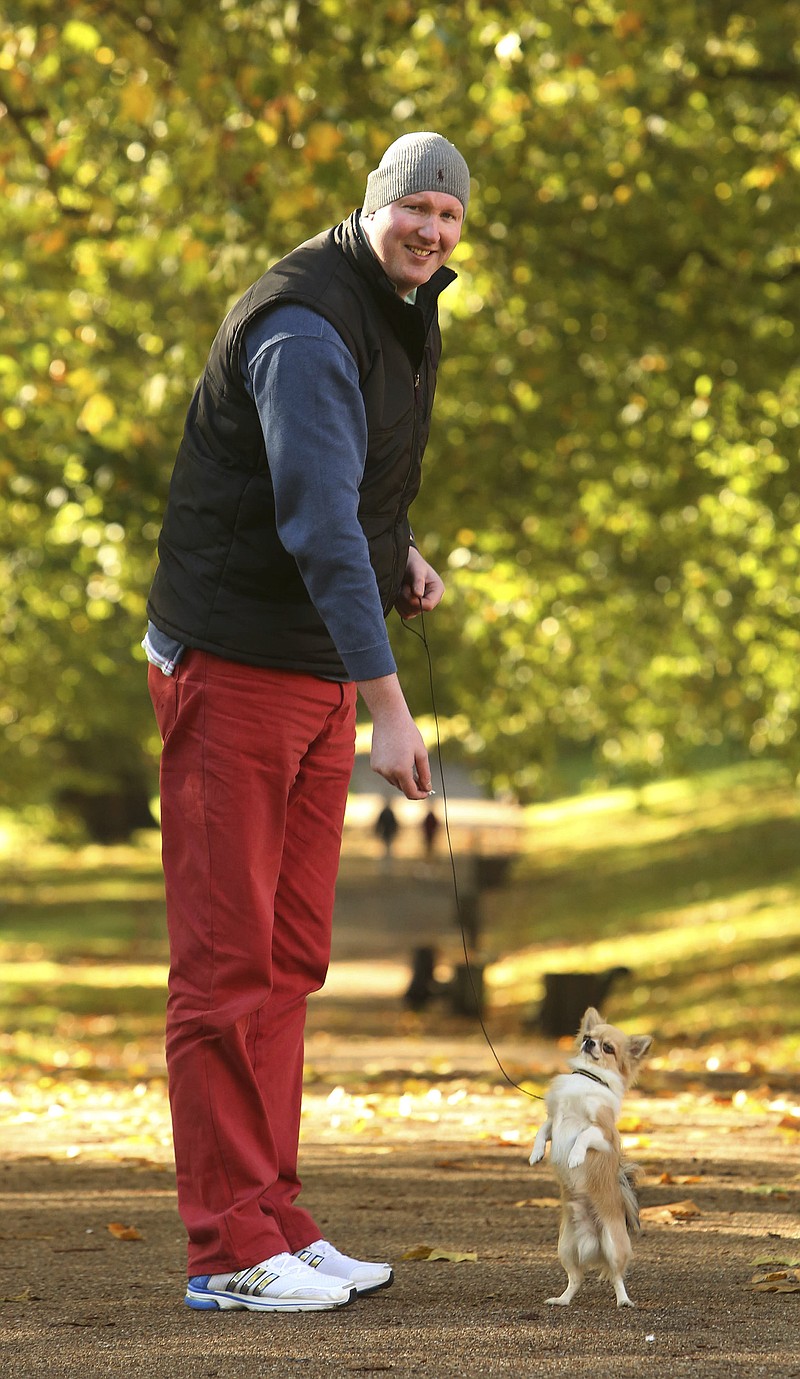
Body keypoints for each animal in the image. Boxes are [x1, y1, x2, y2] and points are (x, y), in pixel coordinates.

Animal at [526, 1009, 653, 1307]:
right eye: (587, 1036)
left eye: (608, 1047)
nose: (589, 1043)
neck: (587, 1077)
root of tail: (592, 1244)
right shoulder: (554, 1120)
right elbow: (542, 1131)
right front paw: (536, 1153)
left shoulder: (604, 1134)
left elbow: (583, 1137)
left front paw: (574, 1156)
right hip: (565, 1247)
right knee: (576, 1279)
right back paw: (562, 1300)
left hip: (614, 1245)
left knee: (617, 1277)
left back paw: (624, 1301)